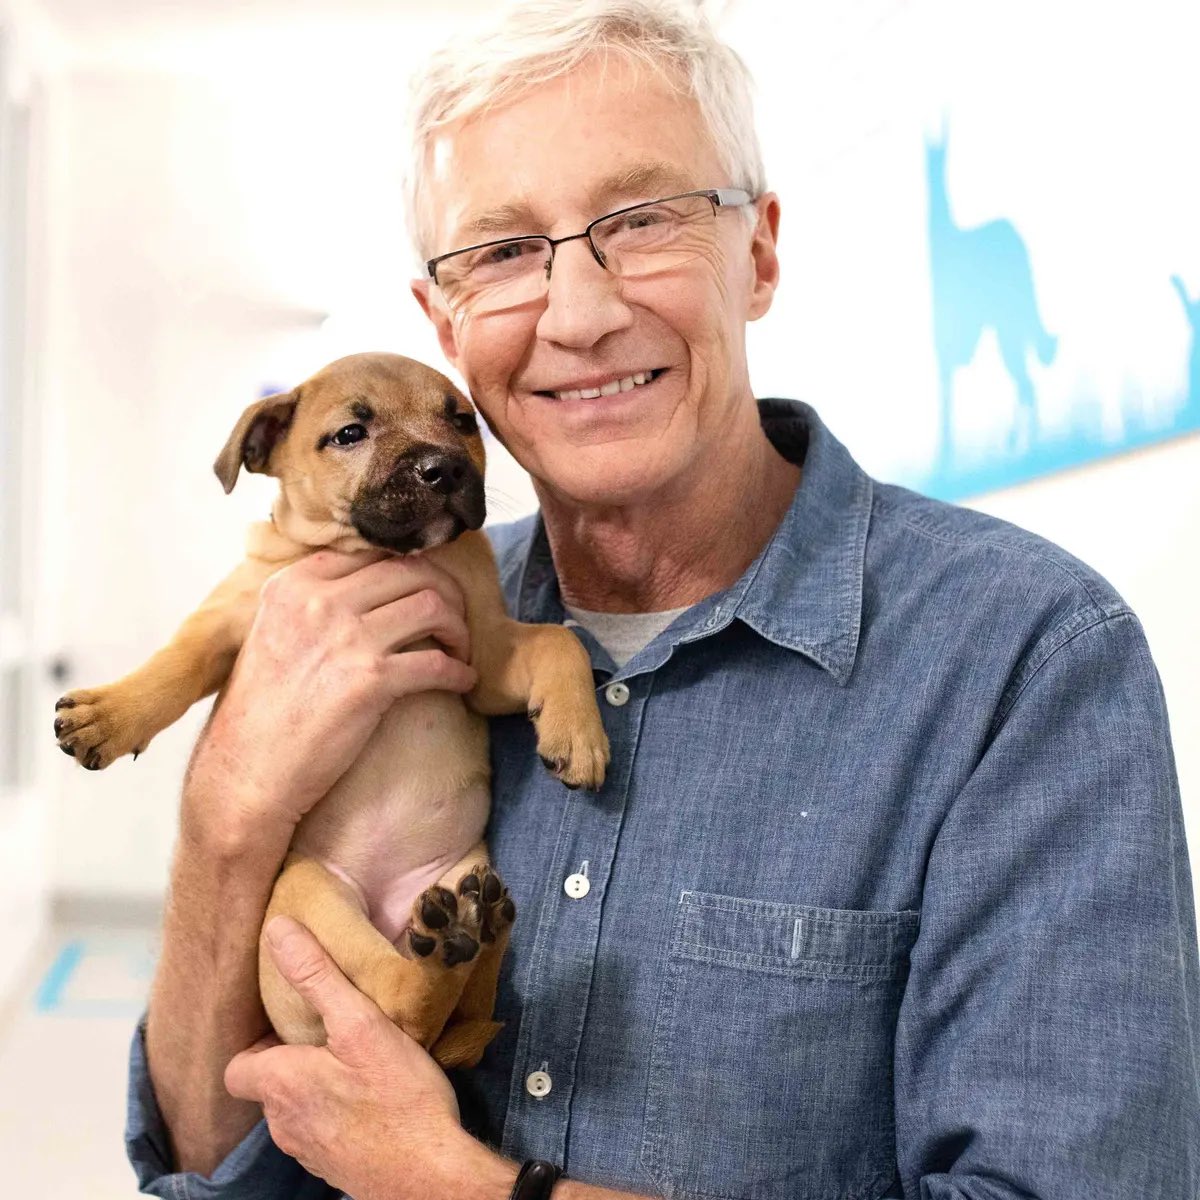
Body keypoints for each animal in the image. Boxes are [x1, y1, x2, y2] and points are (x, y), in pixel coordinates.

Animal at [51, 352, 609, 1070]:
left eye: (462, 421)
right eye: (349, 434)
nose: (447, 468)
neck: (373, 553)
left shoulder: (483, 655)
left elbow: (557, 641)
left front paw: (581, 736)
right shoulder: (240, 613)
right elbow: (179, 660)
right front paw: (108, 714)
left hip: (459, 874)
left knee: (439, 1016)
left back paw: (473, 932)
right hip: (306, 890)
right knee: (406, 1005)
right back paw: (454, 942)